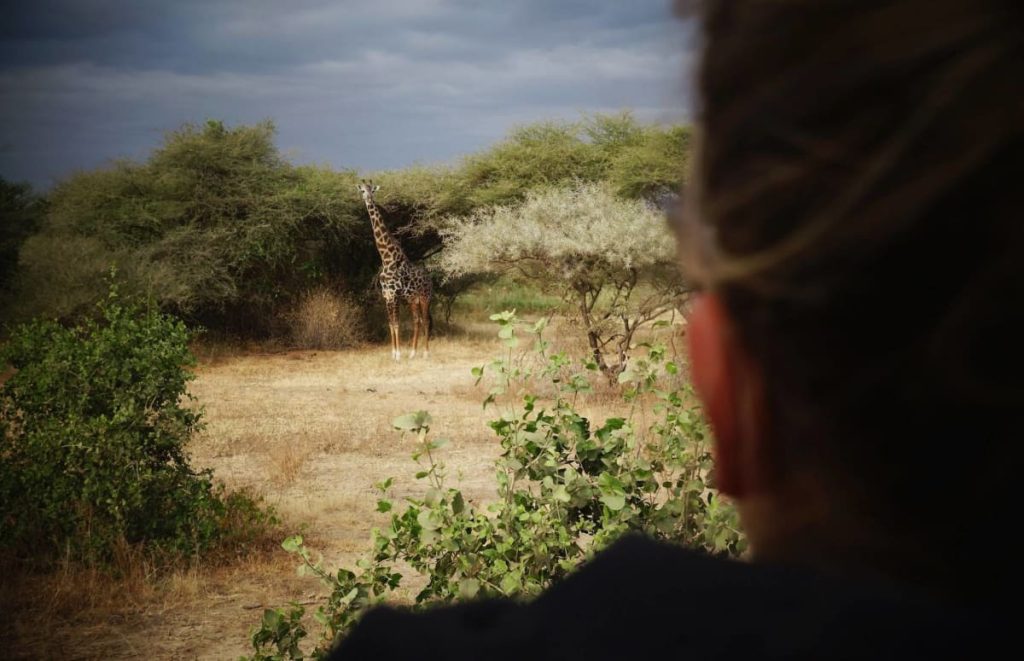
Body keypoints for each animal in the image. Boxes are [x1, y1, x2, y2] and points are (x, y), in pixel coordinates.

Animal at [358, 179, 430, 360]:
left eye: (373, 190)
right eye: (362, 191)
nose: (368, 199)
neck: (386, 257)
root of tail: (429, 278)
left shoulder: (394, 294)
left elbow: (396, 324)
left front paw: (397, 354)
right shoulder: (387, 295)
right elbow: (391, 324)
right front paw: (393, 353)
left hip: (425, 297)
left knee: (425, 320)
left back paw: (426, 353)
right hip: (413, 299)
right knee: (417, 320)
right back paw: (413, 353)